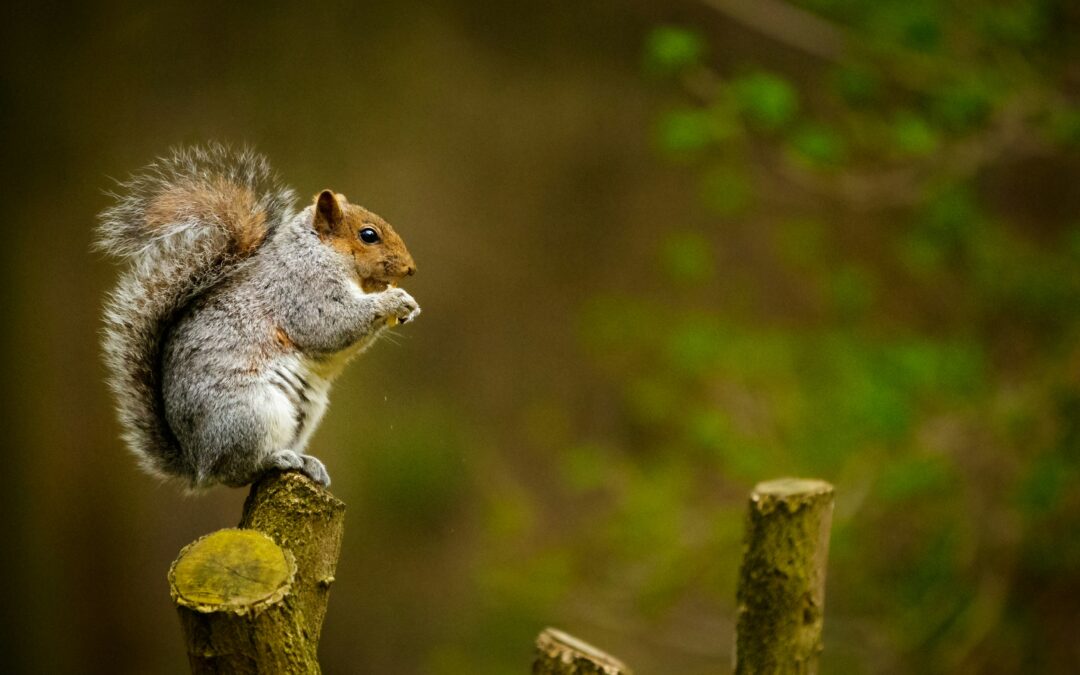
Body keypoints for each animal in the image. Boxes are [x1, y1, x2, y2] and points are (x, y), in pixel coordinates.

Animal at [97, 144, 420, 489]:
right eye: (368, 235)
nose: (410, 268)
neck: (319, 250)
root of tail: (197, 462)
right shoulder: (303, 291)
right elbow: (331, 325)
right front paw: (394, 300)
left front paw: (408, 307)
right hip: (252, 414)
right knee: (237, 471)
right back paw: (277, 459)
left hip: (303, 415)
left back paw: (307, 463)